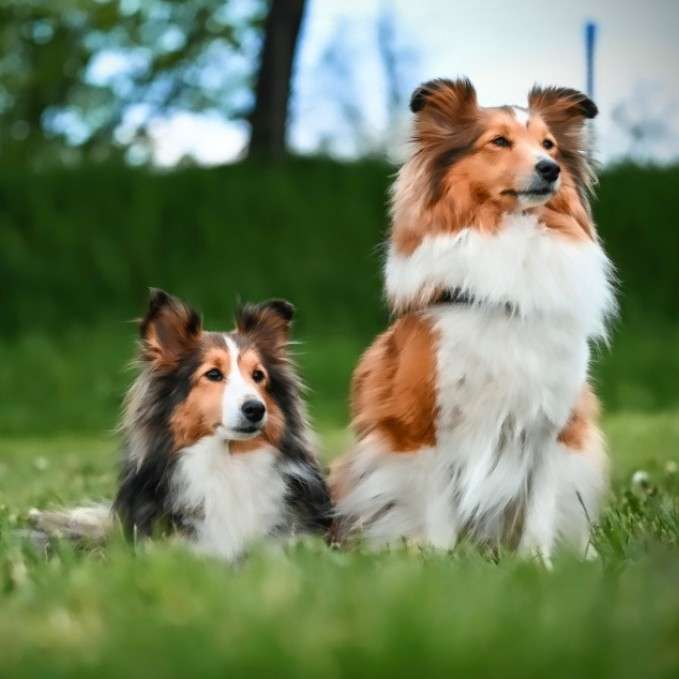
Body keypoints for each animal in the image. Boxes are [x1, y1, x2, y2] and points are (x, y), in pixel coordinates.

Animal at [330, 78, 616, 564]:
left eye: (549, 145)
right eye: (498, 141)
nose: (550, 170)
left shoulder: (554, 426)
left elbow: (541, 509)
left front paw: (539, 566)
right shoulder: (424, 425)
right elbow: (436, 512)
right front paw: (440, 565)